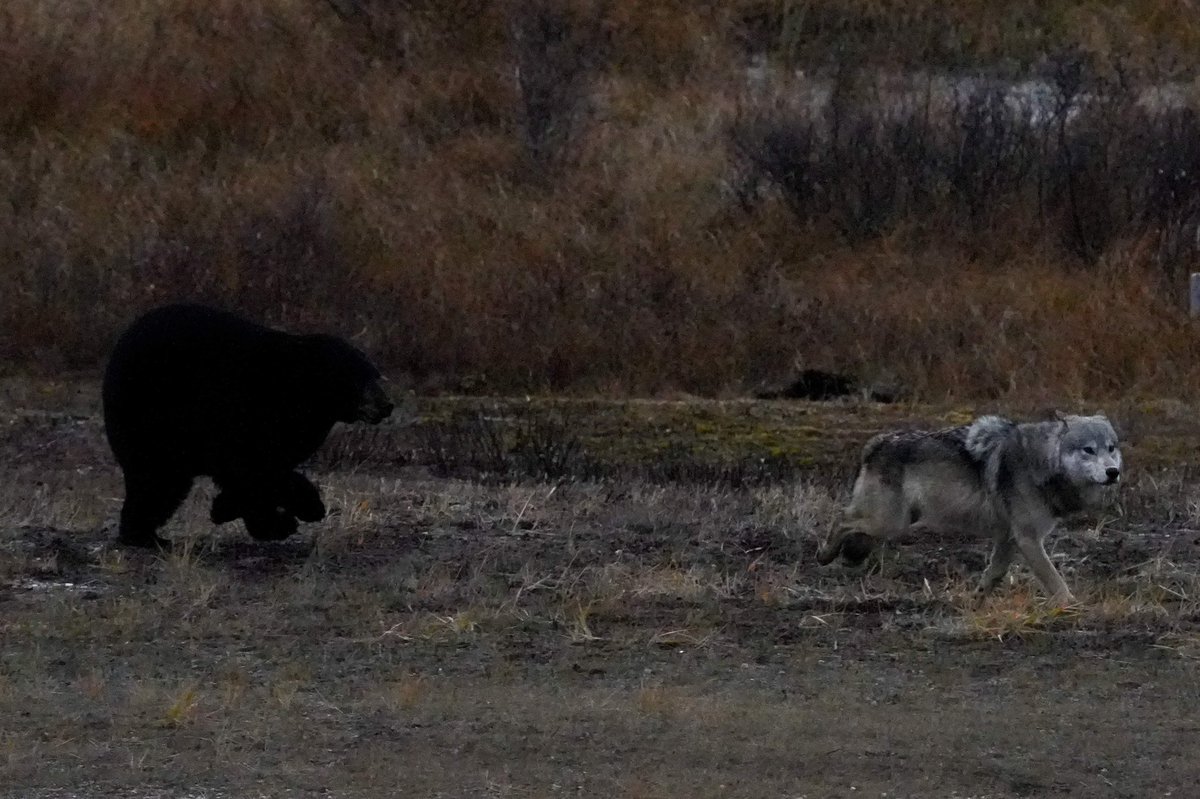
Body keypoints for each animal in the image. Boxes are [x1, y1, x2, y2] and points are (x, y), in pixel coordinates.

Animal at [102, 303, 394, 548]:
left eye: (375, 374)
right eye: (358, 378)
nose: (387, 405)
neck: (299, 389)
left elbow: (261, 471)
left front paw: (224, 508)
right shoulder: (244, 413)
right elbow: (254, 469)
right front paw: (287, 519)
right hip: (153, 420)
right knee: (158, 479)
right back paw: (144, 536)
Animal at [816, 414, 1122, 604]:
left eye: (1111, 448)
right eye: (1088, 450)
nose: (1113, 472)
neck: (1042, 463)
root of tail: (875, 443)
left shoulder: (1008, 538)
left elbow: (993, 574)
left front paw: (977, 601)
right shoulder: (1028, 539)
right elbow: (1054, 580)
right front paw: (1072, 606)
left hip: (894, 522)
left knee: (851, 527)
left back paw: (846, 559)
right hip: (889, 522)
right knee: (841, 519)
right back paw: (824, 555)